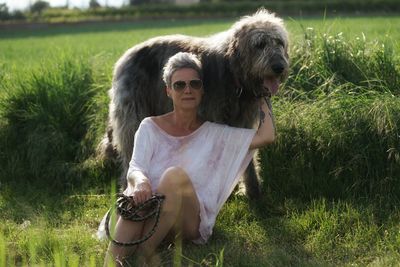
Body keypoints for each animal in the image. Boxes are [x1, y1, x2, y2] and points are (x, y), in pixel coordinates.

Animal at [99, 8, 288, 200]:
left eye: (279, 42)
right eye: (260, 44)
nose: (279, 67)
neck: (234, 74)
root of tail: (124, 57)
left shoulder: (243, 123)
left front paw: (253, 191)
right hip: (133, 116)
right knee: (131, 155)